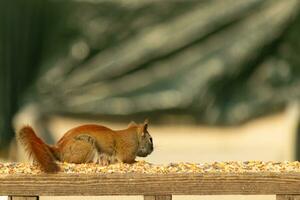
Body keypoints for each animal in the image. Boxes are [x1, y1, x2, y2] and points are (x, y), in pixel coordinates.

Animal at [17, 119, 154, 173]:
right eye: (150, 139)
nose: (152, 150)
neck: (133, 135)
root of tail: (58, 149)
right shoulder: (127, 151)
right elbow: (130, 160)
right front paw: (143, 163)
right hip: (86, 145)